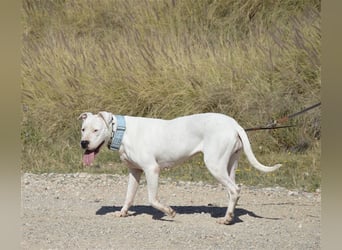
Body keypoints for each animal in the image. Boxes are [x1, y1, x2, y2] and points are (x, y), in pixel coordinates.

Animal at [79, 112, 280, 225]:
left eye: (96, 130)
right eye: (83, 129)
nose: (83, 143)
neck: (122, 131)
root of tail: (234, 124)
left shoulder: (152, 169)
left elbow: (152, 199)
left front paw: (168, 211)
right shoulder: (135, 172)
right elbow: (129, 196)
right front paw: (122, 212)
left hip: (214, 164)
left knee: (234, 189)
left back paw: (227, 218)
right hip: (230, 164)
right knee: (233, 191)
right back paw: (230, 215)